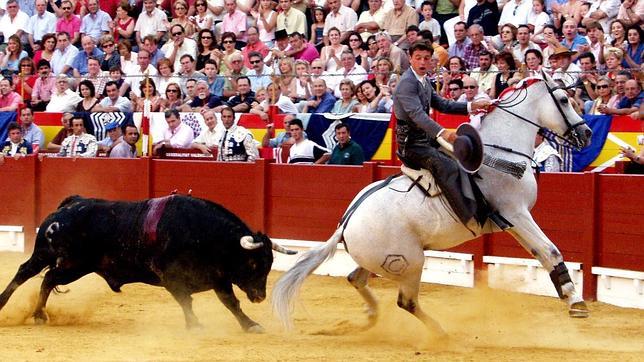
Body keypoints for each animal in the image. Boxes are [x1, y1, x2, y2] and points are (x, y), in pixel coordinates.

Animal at [0, 195, 296, 334]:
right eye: (253, 263)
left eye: (269, 264)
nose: (259, 296)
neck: (204, 233)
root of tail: (71, 205)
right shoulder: (173, 279)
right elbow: (187, 301)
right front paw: (195, 325)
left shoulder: (218, 277)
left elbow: (230, 303)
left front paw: (250, 324)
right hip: (62, 260)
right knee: (36, 275)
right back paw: (22, 310)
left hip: (63, 261)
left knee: (38, 275)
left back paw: (24, 310)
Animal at [272, 75, 592, 338]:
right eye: (564, 100)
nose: (587, 133)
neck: (499, 150)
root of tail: (345, 224)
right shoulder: (516, 212)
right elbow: (552, 250)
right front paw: (577, 301)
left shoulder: (513, 220)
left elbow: (541, 253)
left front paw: (569, 297)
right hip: (410, 261)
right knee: (406, 301)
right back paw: (439, 332)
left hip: (379, 259)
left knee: (356, 278)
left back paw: (372, 316)